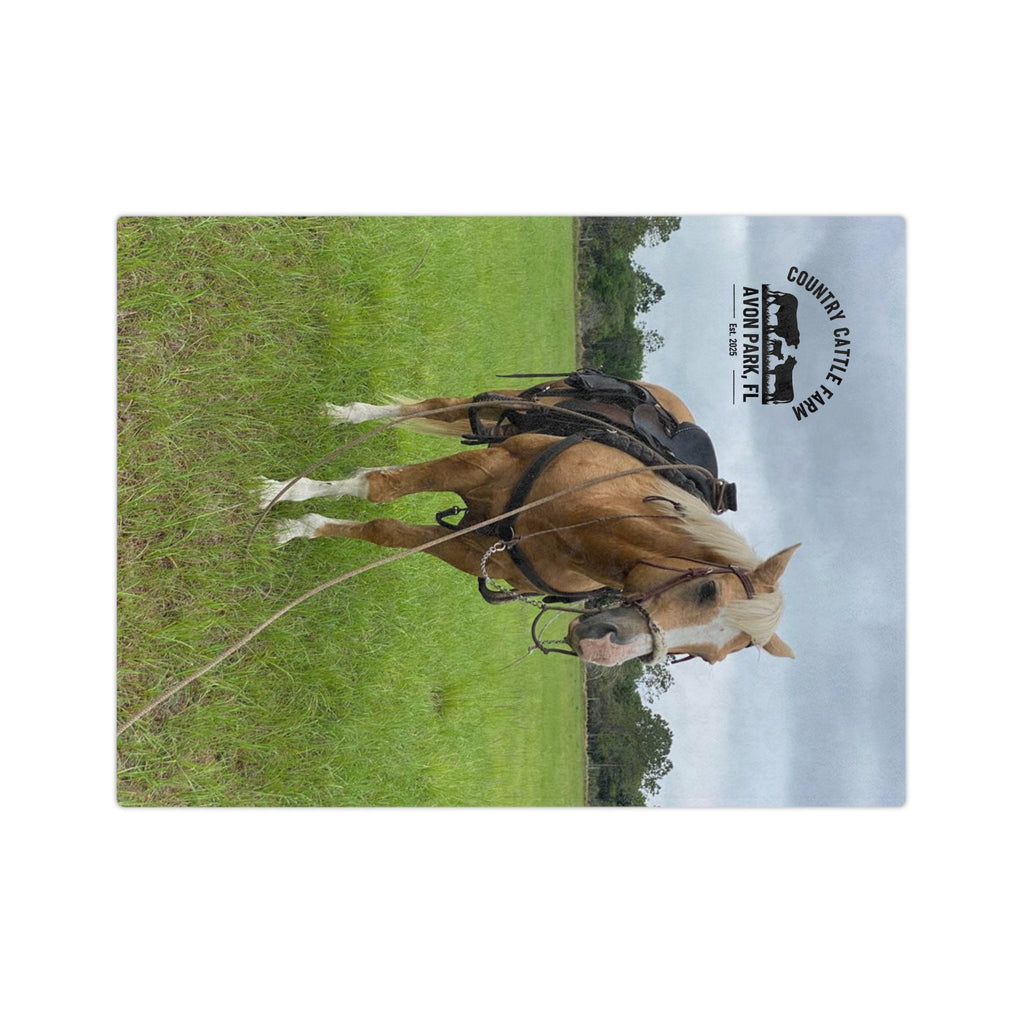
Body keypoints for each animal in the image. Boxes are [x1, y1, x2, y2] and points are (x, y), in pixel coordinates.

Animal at [258, 375, 799, 668]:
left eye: (708, 656)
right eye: (706, 591)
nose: (602, 651)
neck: (576, 524)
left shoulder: (476, 552)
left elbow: (383, 530)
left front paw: (303, 525)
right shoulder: (487, 465)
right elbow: (378, 487)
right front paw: (284, 498)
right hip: (506, 402)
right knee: (434, 407)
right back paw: (349, 414)